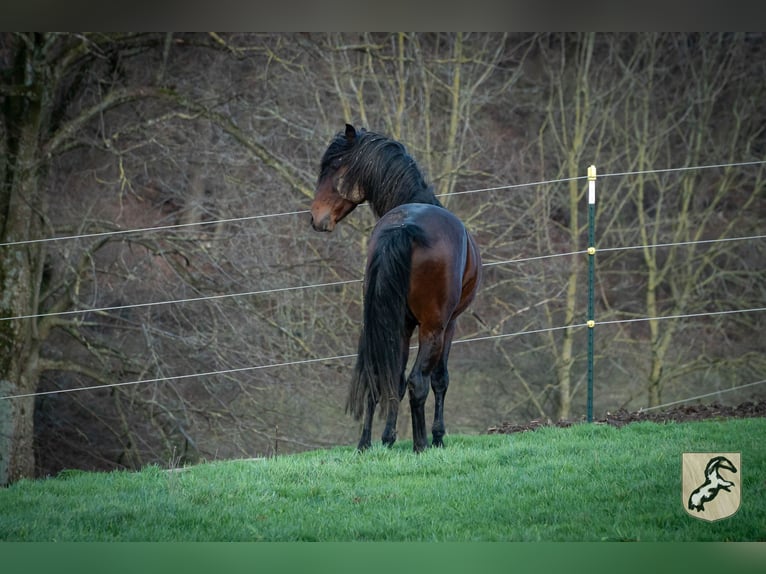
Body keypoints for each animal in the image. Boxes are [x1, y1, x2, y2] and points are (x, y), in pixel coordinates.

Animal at [310, 125, 480, 454]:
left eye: (334, 166)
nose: (316, 217)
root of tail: (404, 228)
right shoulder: (449, 324)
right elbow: (439, 379)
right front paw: (438, 436)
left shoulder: (400, 325)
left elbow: (393, 379)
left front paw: (387, 438)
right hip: (432, 329)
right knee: (418, 382)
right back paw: (421, 444)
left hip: (386, 321)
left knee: (381, 376)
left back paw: (365, 443)